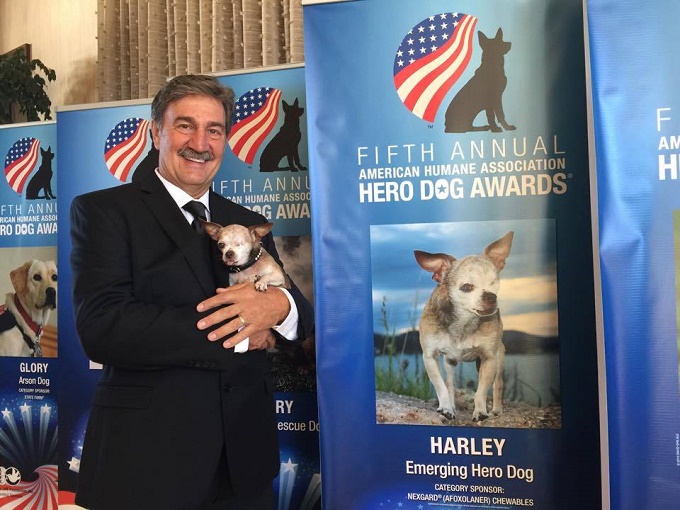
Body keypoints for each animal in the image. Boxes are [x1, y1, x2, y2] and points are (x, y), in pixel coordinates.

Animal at [414, 232, 516, 422]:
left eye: (494, 283)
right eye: (466, 287)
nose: (491, 296)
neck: (463, 321)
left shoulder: (489, 358)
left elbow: (481, 391)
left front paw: (480, 411)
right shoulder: (429, 357)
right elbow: (441, 386)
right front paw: (446, 408)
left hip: (499, 357)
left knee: (498, 384)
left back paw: (497, 409)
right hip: (450, 361)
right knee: (449, 382)